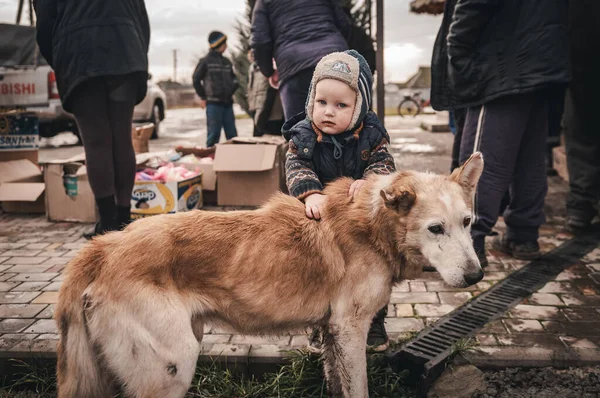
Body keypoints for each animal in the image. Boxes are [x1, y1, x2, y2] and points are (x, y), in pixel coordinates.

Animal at [55, 152, 488, 394]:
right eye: (436, 229)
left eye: (467, 222)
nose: (475, 278)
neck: (373, 223)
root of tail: (105, 246)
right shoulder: (350, 330)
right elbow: (359, 389)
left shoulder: (333, 334)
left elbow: (337, 383)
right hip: (172, 368)